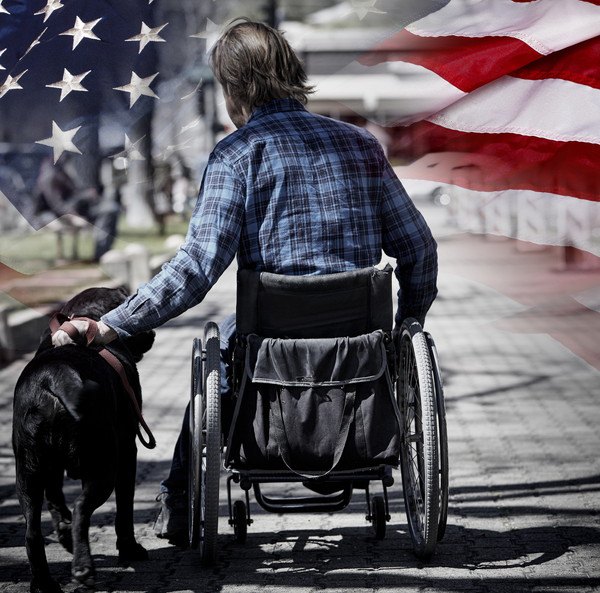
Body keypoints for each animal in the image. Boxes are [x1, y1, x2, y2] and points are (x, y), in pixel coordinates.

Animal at [12, 286, 155, 592]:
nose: (150, 333)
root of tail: (55, 376)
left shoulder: (50, 470)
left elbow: (55, 501)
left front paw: (63, 534)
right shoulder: (128, 452)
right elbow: (125, 507)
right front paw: (129, 548)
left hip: (27, 472)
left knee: (32, 532)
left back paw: (44, 582)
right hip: (104, 464)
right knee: (81, 509)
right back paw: (82, 568)